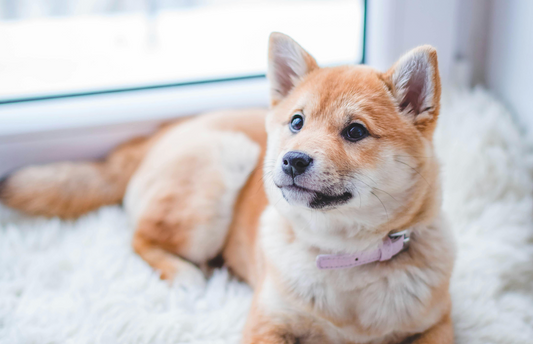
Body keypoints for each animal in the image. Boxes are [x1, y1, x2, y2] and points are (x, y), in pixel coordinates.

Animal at [2, 33, 456, 344]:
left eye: (356, 131)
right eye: (297, 122)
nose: (292, 160)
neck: (346, 257)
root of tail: (159, 133)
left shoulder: (437, 324)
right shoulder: (268, 322)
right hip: (218, 173)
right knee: (141, 237)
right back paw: (186, 274)